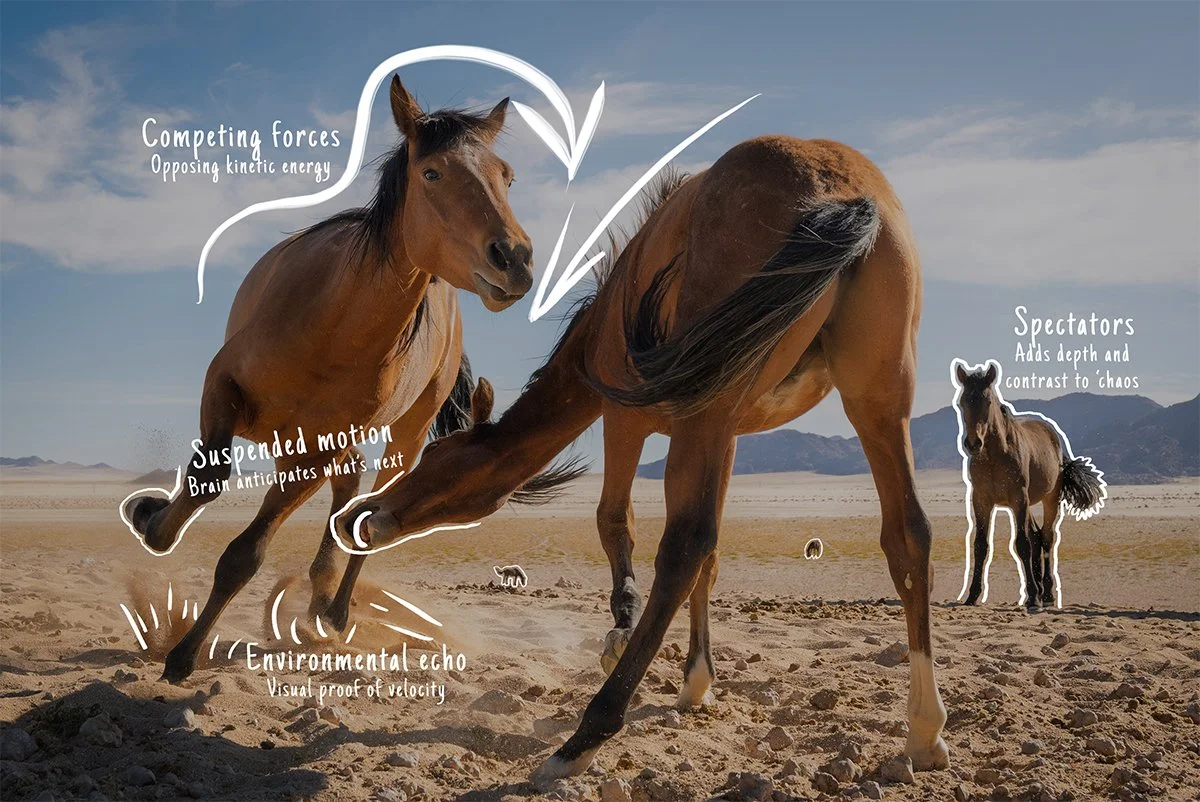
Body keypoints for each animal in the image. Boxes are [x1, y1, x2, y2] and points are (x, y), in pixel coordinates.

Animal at [122, 75, 537, 685]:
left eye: (506, 176)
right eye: (432, 172)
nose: (515, 259)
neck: (332, 329)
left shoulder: (312, 455)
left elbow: (244, 554)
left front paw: (184, 654)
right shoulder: (223, 387)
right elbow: (211, 476)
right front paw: (151, 520)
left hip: (403, 437)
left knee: (368, 509)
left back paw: (334, 611)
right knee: (348, 489)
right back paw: (317, 595)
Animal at [331, 137, 951, 781]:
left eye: (437, 457)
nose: (369, 517)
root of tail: (840, 191)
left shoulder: (625, 418)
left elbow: (616, 522)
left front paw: (621, 633)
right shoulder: (730, 431)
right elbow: (714, 556)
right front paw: (696, 681)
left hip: (710, 408)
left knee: (683, 544)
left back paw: (585, 734)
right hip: (877, 397)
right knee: (906, 534)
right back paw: (925, 732)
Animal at [951, 359, 1106, 609]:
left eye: (988, 400)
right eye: (962, 401)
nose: (973, 443)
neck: (995, 455)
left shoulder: (1018, 498)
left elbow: (1022, 544)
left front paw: (1033, 596)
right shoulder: (981, 500)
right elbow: (980, 545)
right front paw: (972, 595)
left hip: (1048, 499)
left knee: (1047, 538)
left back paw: (1047, 593)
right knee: (1036, 536)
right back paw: (1041, 589)